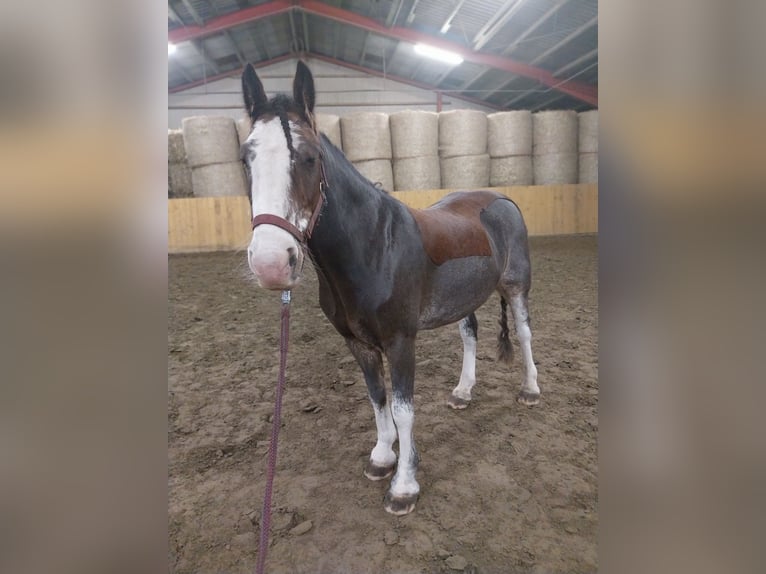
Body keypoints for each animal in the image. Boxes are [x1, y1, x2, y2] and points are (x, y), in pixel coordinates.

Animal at [239, 61, 539, 515]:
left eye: (309, 158)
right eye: (246, 159)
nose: (271, 263)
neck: (373, 245)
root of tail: (504, 199)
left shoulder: (400, 341)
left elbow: (402, 410)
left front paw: (404, 486)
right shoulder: (357, 343)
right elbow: (377, 399)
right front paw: (382, 458)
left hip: (516, 285)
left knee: (522, 333)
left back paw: (530, 390)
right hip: (464, 297)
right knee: (470, 333)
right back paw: (463, 393)